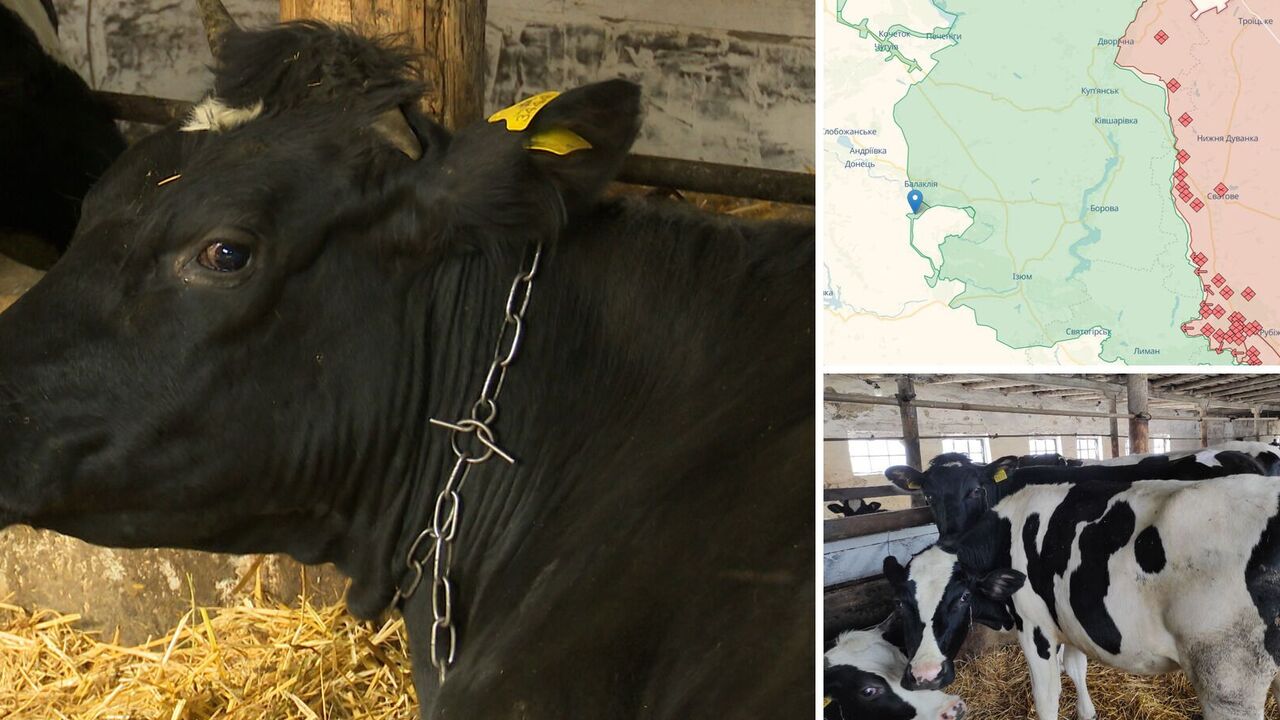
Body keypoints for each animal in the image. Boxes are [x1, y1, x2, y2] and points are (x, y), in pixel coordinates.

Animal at [885, 473, 1280, 720]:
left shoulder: (1035, 628)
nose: (925, 676)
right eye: (901, 603)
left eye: (962, 598)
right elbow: (1076, 668)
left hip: (1228, 679)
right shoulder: (1070, 619)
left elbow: (1047, 699)